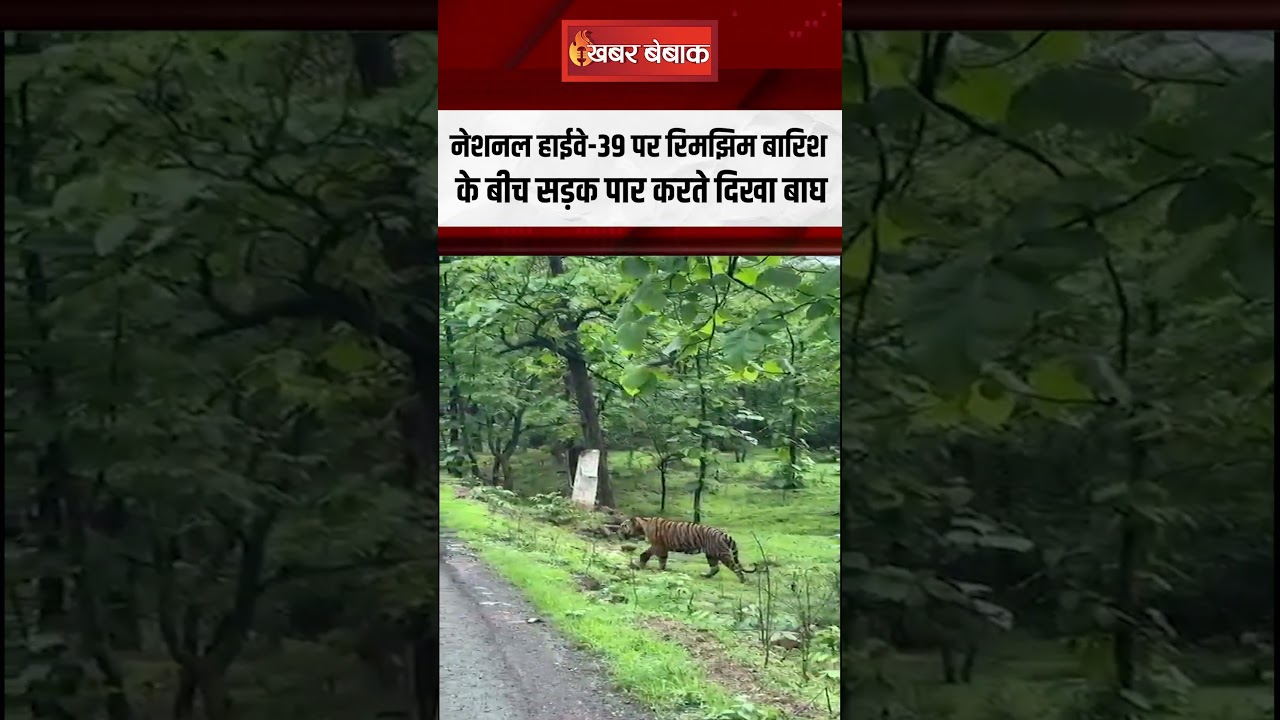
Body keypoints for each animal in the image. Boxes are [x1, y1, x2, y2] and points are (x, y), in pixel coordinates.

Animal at [619, 516, 758, 583]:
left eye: (623, 525)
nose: (617, 531)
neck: (643, 525)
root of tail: (723, 534)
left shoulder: (659, 545)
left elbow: (660, 558)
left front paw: (660, 570)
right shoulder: (657, 546)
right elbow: (645, 554)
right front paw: (640, 565)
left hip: (722, 554)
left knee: (736, 567)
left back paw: (743, 580)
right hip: (711, 554)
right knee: (715, 568)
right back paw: (705, 576)